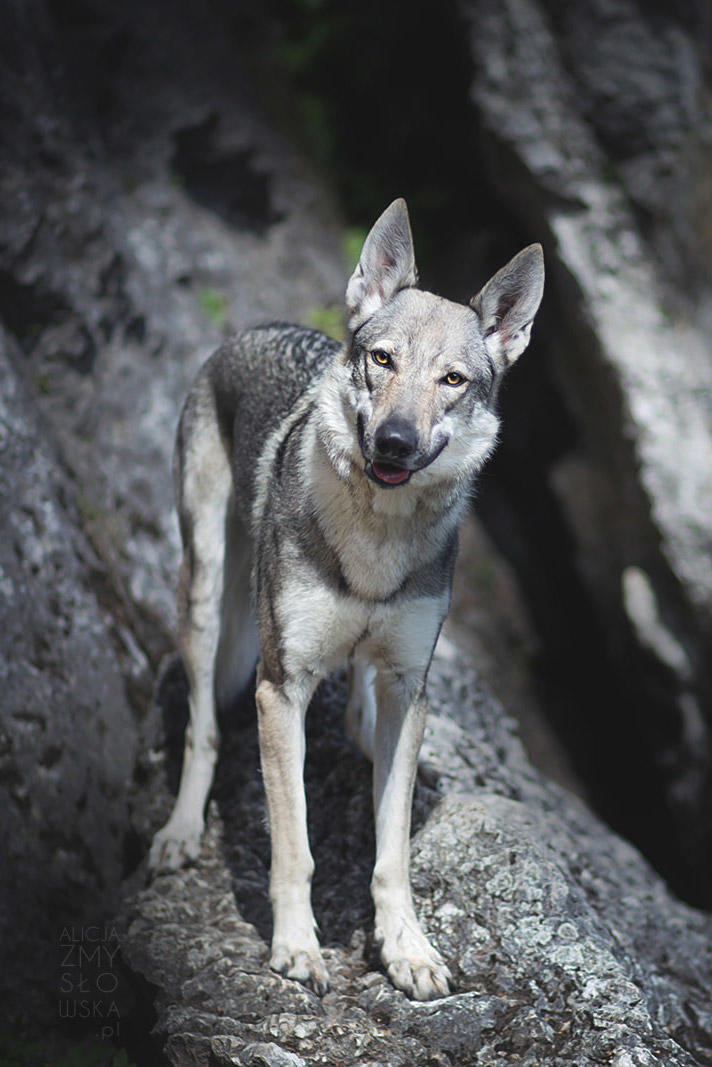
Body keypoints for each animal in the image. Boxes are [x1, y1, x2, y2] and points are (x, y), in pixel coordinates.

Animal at [147, 198, 542, 998]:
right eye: (382, 360)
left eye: (452, 379)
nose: (394, 441)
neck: (375, 542)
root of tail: (253, 328)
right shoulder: (281, 687)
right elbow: (294, 844)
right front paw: (298, 946)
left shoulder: (407, 686)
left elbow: (391, 853)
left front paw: (407, 948)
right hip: (206, 596)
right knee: (203, 730)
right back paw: (179, 832)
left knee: (360, 721)